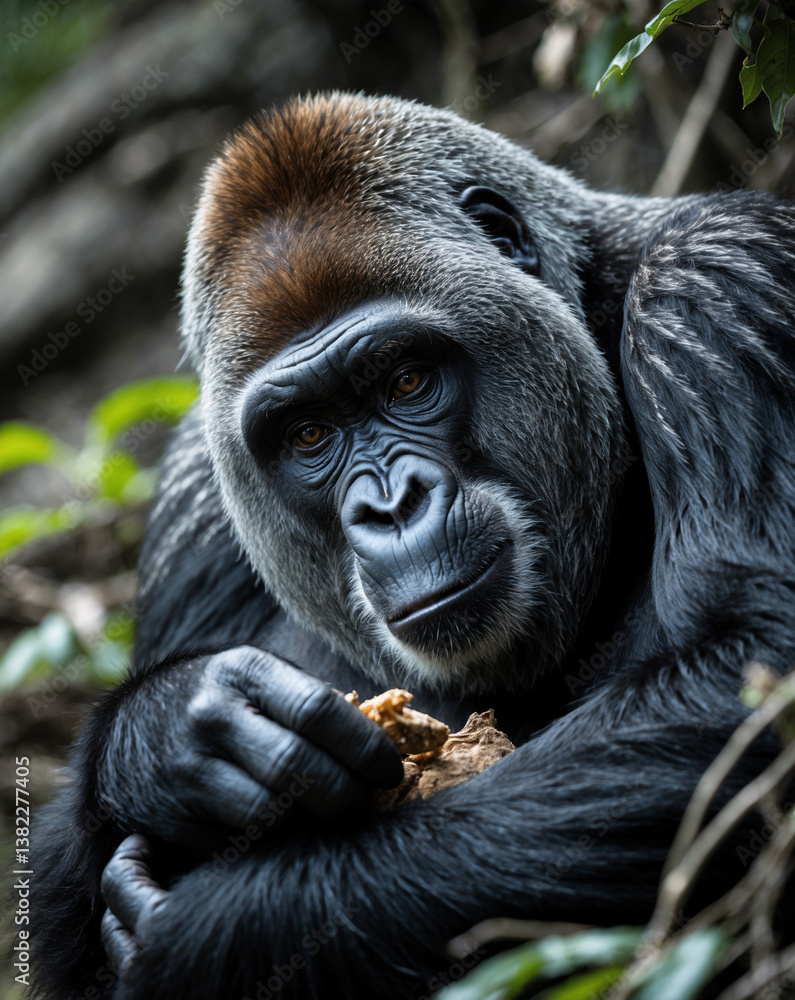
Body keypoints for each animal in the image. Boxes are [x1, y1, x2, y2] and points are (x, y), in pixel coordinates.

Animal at [31, 93, 795, 1000]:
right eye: (308, 433)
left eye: (406, 380)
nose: (391, 507)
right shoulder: (193, 478)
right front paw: (174, 736)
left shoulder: (719, 280)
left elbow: (749, 662)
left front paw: (223, 926)